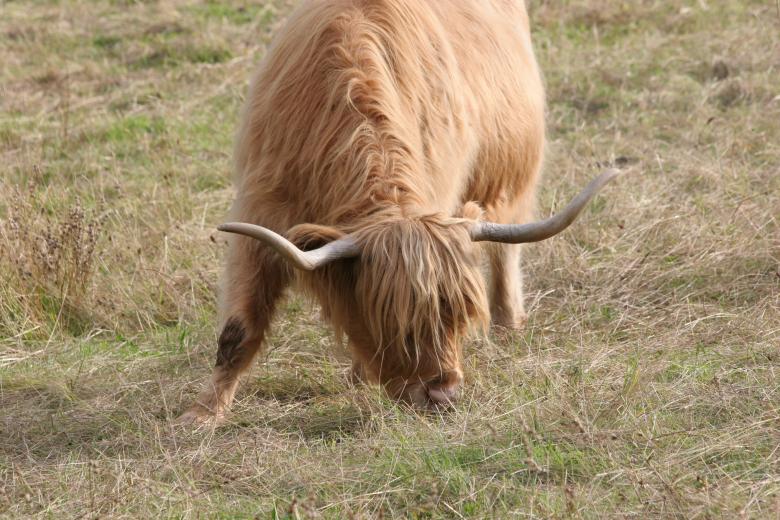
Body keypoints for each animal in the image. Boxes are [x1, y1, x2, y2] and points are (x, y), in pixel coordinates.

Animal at [180, 0, 619, 422]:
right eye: (394, 320)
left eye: (459, 316)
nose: (443, 394)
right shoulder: (259, 215)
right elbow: (238, 331)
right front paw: (203, 415)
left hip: (512, 169)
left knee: (506, 243)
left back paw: (509, 323)